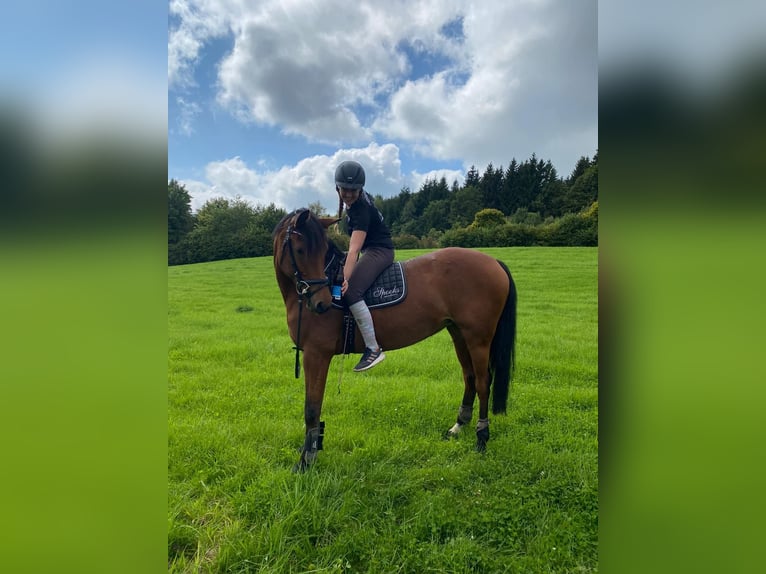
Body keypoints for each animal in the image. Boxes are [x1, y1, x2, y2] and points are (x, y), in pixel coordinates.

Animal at [273, 208, 517, 472]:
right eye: (300, 251)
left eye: (320, 251)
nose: (323, 303)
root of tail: (493, 262)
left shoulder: (316, 354)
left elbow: (312, 408)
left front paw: (306, 461)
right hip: (459, 333)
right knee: (469, 377)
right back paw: (459, 425)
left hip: (478, 338)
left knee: (483, 382)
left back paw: (482, 437)